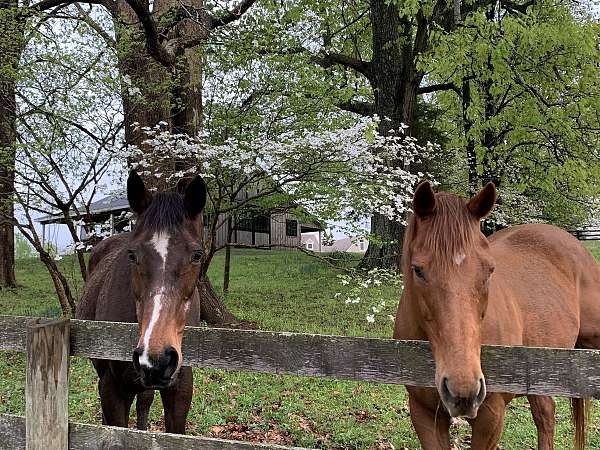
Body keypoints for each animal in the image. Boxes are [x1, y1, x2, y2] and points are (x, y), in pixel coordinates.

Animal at [76, 171, 207, 434]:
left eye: (197, 255)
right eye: (132, 255)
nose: (156, 360)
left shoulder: (180, 388)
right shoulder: (113, 391)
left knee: (144, 401)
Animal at [394, 180, 600, 450]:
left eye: (489, 270)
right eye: (418, 270)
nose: (464, 390)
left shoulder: (490, 417)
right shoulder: (424, 414)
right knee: (545, 415)